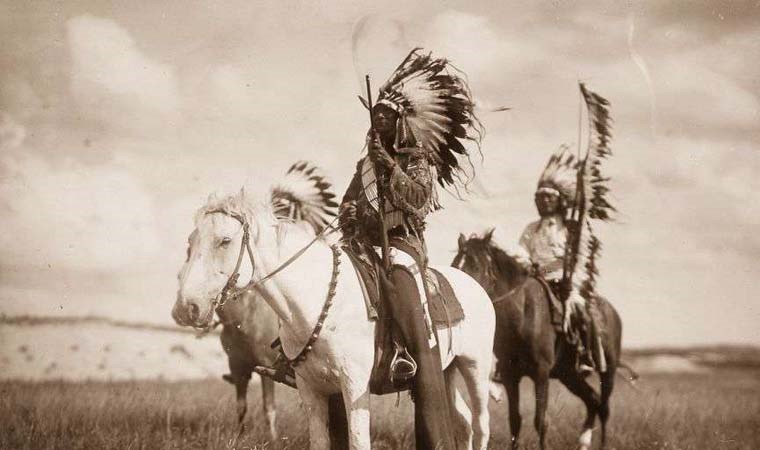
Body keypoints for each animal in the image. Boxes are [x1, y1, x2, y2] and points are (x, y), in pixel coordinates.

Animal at [174, 178, 498, 446]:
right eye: (190, 242)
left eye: (225, 241)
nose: (186, 308)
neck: (315, 303)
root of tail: (475, 285)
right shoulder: (312, 390)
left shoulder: (354, 387)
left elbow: (358, 442)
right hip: (447, 370)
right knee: (464, 423)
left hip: (475, 368)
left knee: (481, 425)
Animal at [452, 232, 636, 450]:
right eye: (454, 264)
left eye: (475, 265)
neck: (523, 315)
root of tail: (612, 313)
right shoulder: (510, 375)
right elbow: (515, 420)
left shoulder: (541, 373)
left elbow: (541, 421)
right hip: (569, 375)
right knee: (593, 400)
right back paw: (583, 441)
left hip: (608, 371)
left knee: (604, 407)